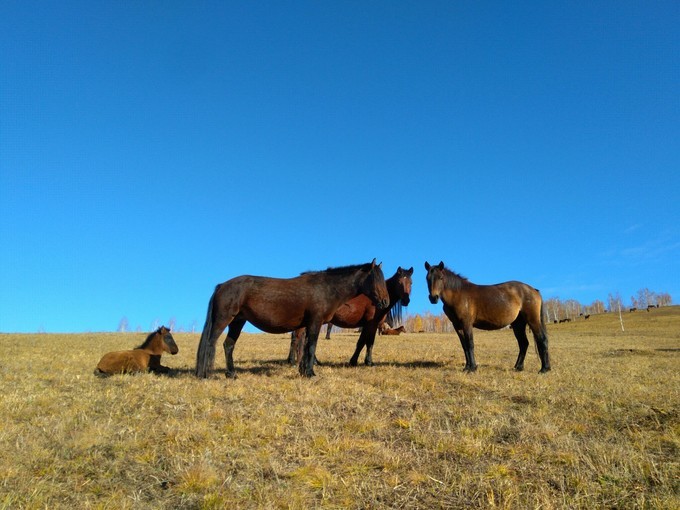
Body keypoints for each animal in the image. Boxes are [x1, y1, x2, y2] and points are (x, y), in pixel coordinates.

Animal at [195, 260, 388, 376]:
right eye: (375, 279)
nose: (385, 302)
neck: (325, 288)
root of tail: (222, 286)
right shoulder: (315, 322)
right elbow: (311, 346)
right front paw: (310, 373)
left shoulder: (308, 325)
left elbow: (306, 346)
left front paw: (304, 370)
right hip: (223, 320)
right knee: (210, 343)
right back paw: (204, 374)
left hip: (237, 322)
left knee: (228, 345)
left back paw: (231, 374)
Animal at [424, 260, 552, 372]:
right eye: (427, 278)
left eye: (441, 277)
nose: (433, 298)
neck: (459, 294)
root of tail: (533, 290)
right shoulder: (457, 326)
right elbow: (464, 346)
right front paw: (466, 367)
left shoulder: (467, 324)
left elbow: (470, 344)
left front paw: (472, 368)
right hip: (518, 324)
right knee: (523, 343)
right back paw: (518, 367)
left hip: (533, 320)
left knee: (542, 340)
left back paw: (544, 369)